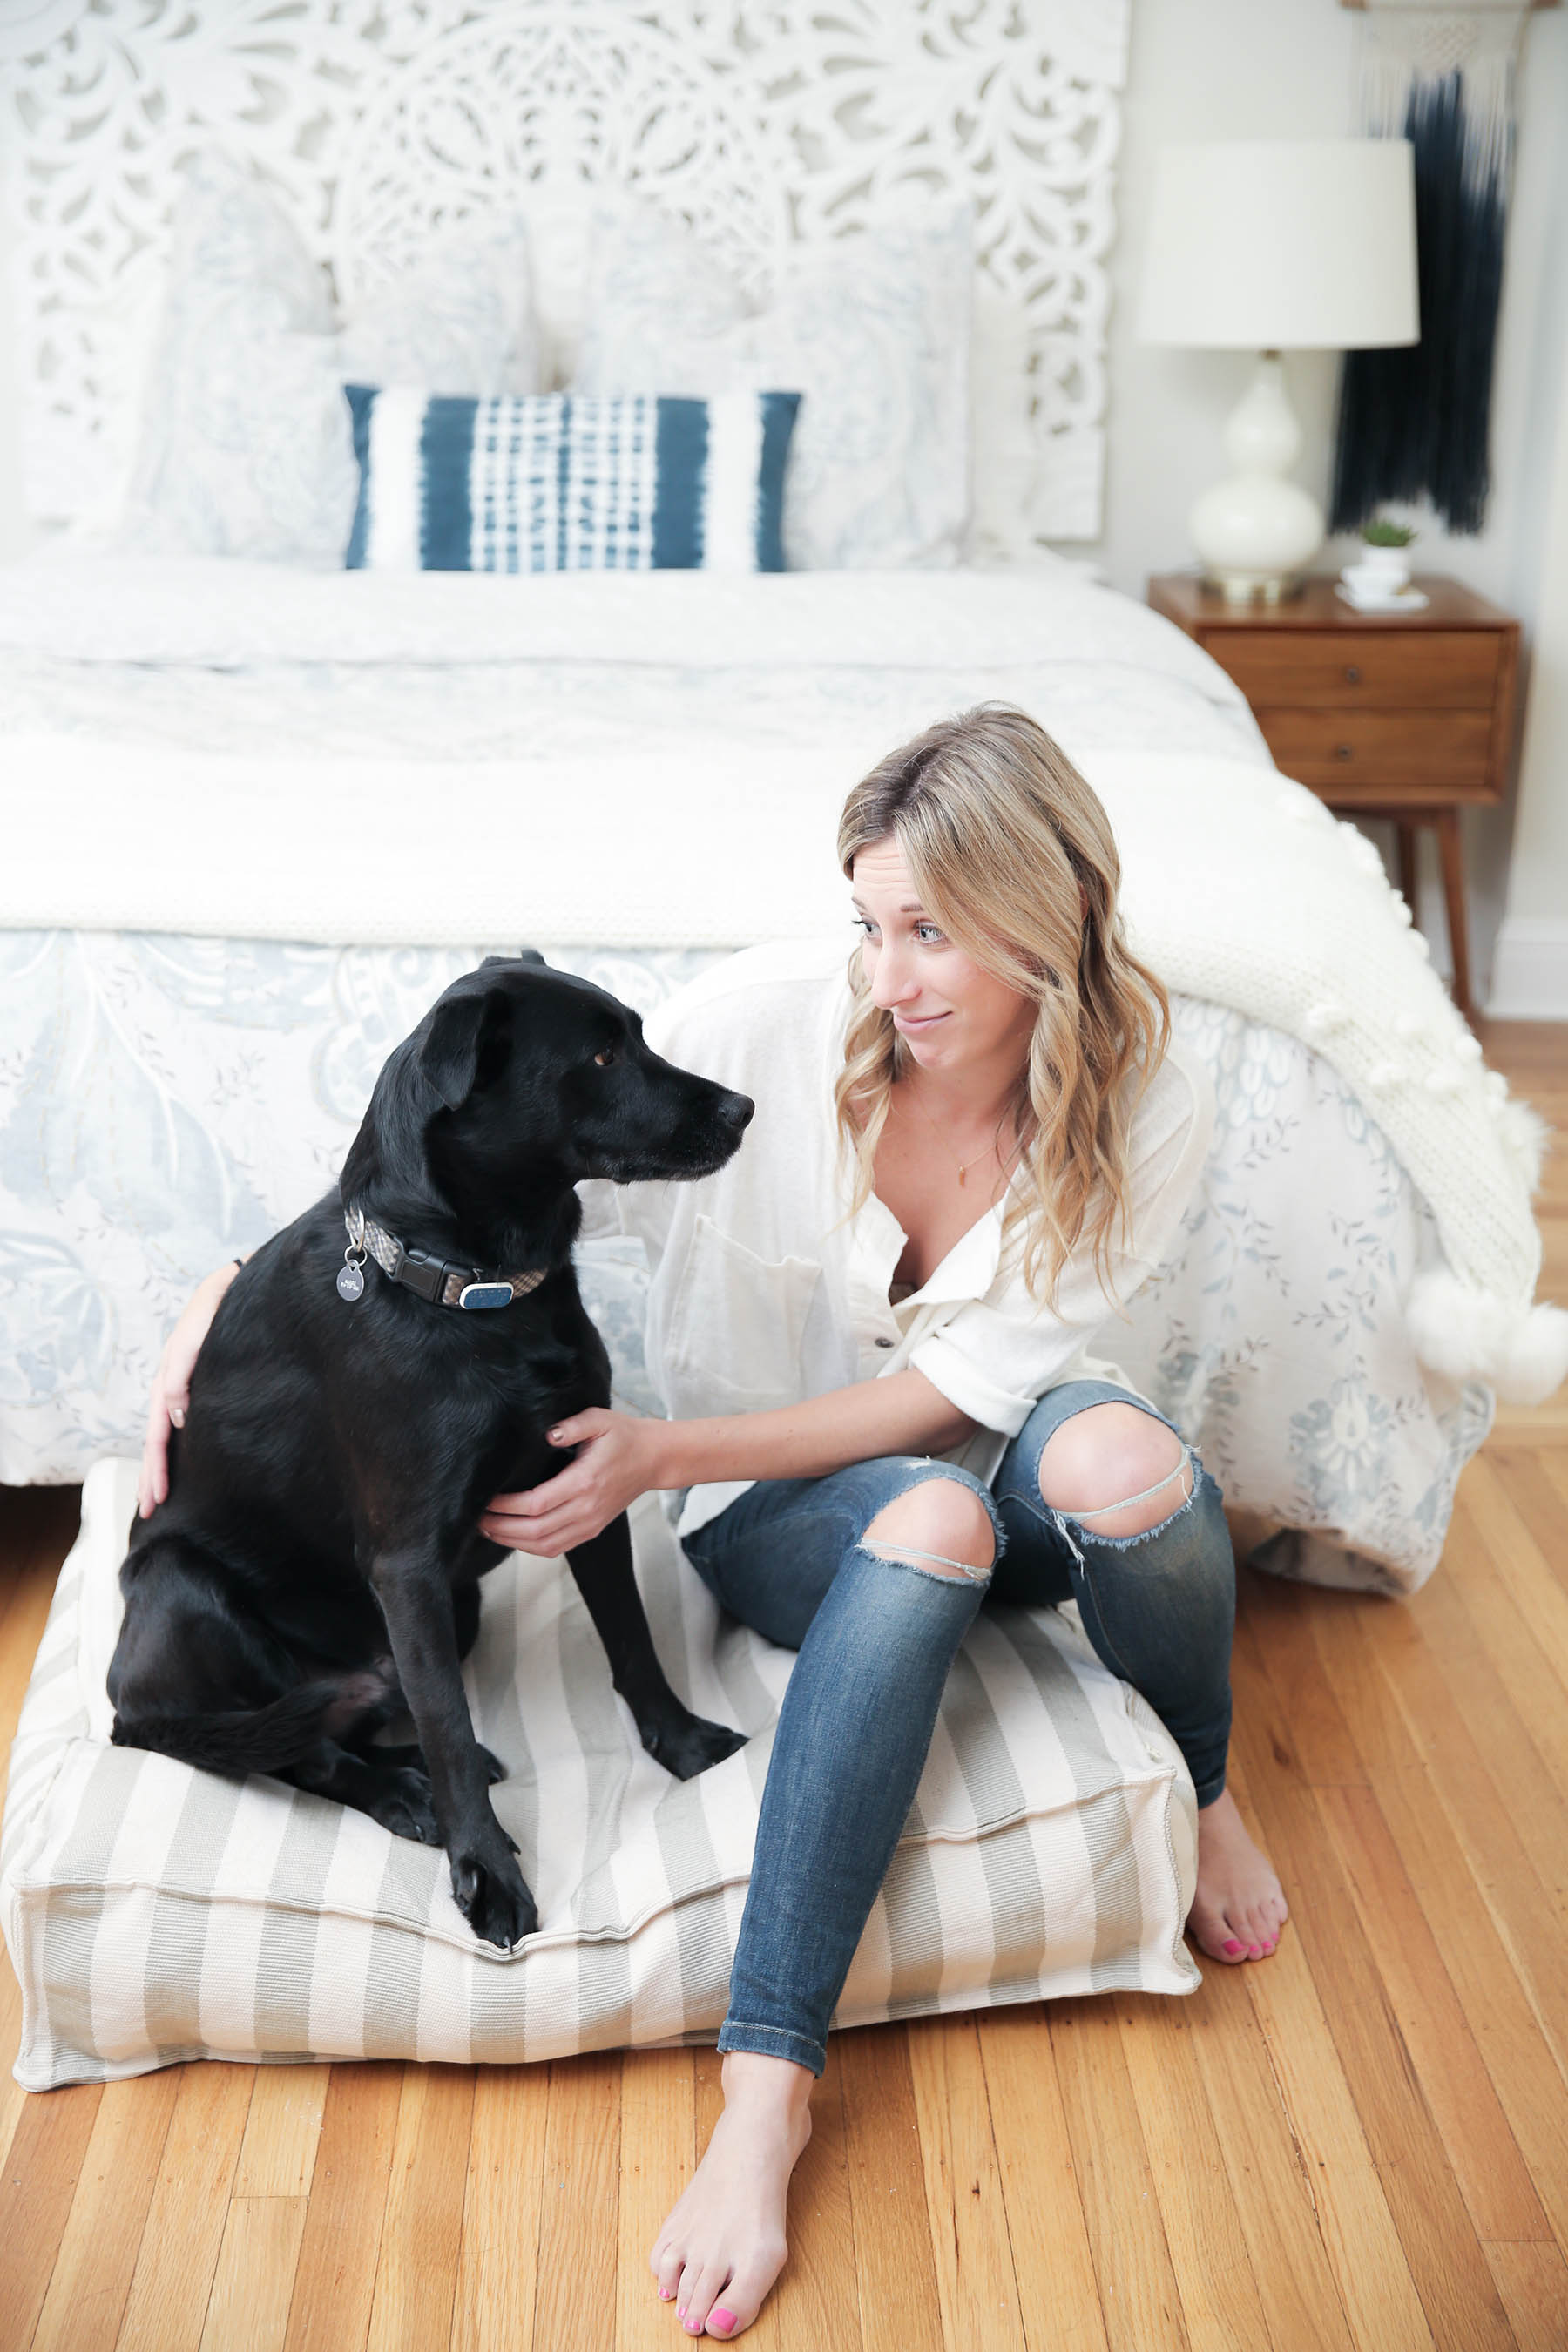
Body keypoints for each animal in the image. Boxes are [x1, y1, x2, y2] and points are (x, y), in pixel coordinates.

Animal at [108, 955, 752, 1947]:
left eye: (640, 1036)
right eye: (602, 1055)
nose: (744, 1108)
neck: (478, 1291)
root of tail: (126, 1711)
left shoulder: (587, 1484)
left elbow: (632, 1639)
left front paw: (680, 1745)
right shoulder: (407, 1562)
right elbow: (446, 1718)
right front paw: (486, 1873)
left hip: (457, 1608)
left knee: (358, 1717)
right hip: (180, 1585)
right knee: (304, 1752)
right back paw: (405, 1797)